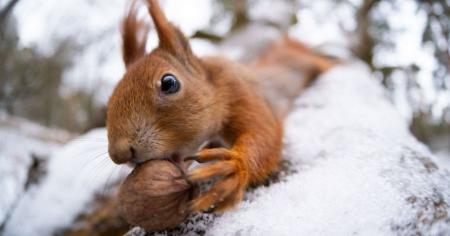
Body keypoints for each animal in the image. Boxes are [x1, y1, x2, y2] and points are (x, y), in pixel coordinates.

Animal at [107, 0, 336, 213]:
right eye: (109, 100)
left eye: (169, 83)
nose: (119, 154)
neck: (216, 86)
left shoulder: (241, 91)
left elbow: (265, 131)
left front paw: (235, 167)